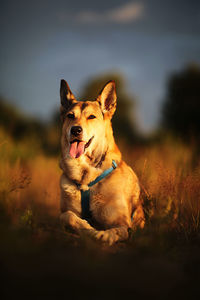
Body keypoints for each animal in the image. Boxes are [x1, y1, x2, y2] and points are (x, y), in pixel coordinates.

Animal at [58, 79, 145, 244]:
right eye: (70, 116)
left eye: (91, 117)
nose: (75, 130)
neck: (86, 178)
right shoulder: (65, 212)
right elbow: (67, 216)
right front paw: (87, 227)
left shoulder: (123, 224)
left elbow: (114, 231)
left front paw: (103, 234)